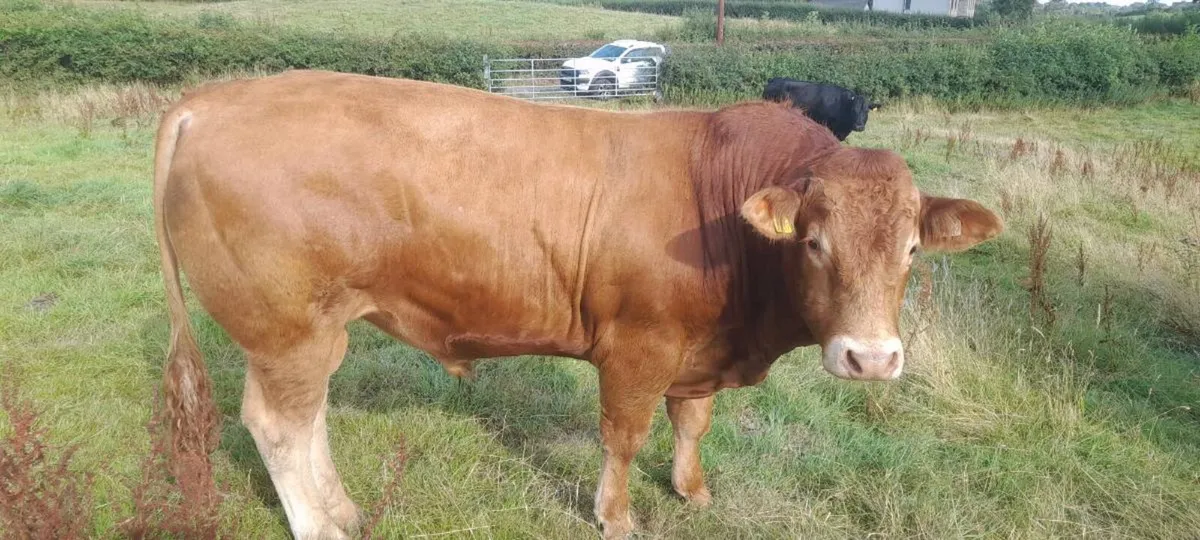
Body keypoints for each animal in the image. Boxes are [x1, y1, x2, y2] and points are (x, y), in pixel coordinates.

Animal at [152, 70, 1002, 540]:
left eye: (913, 249)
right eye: (815, 241)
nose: (871, 358)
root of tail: (211, 100)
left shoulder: (698, 349)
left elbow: (691, 422)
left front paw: (692, 492)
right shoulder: (638, 346)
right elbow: (623, 438)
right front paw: (616, 517)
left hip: (310, 334)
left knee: (309, 418)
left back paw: (345, 509)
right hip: (287, 329)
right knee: (279, 426)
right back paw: (323, 524)